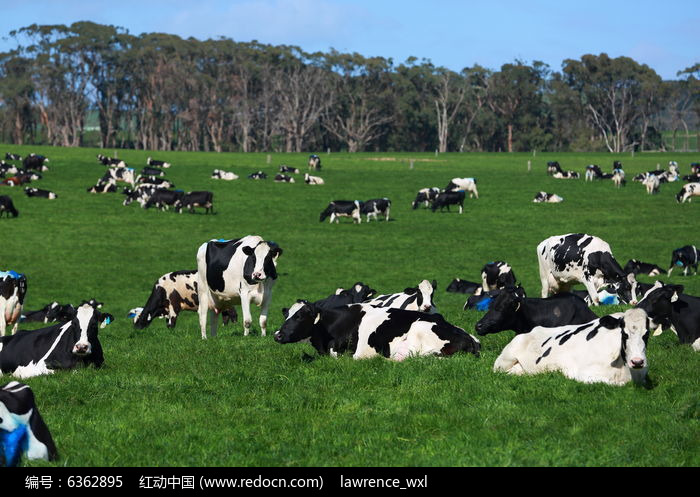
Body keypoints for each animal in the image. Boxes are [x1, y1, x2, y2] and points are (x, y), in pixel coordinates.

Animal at [492, 308, 652, 386]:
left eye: (646, 334)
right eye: (624, 334)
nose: (637, 361)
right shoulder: (584, 375)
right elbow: (617, 384)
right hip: (503, 361)